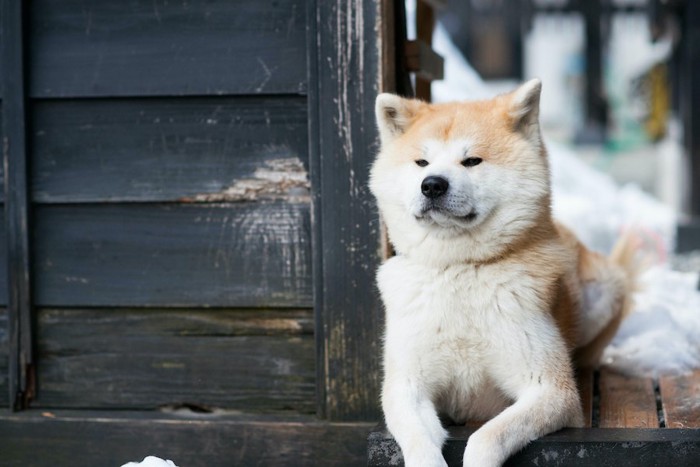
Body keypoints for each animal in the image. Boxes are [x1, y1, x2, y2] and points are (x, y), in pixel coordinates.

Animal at [370, 78, 636, 466]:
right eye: (422, 162)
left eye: (471, 161)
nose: (432, 184)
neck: (461, 269)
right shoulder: (406, 388)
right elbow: (421, 445)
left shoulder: (550, 389)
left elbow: (486, 437)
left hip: (605, 293)